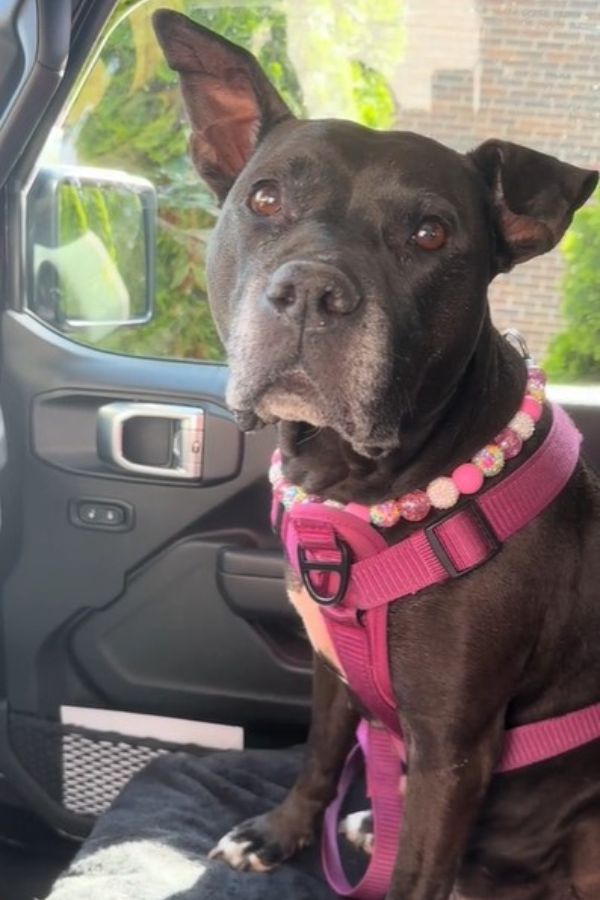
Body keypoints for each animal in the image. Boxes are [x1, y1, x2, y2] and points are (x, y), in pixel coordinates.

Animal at [152, 14, 596, 900]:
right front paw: (281, 832)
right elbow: (321, 758)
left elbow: (415, 867)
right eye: (265, 198)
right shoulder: (331, 668)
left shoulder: (454, 749)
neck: (361, 482)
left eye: (429, 233)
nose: (312, 293)